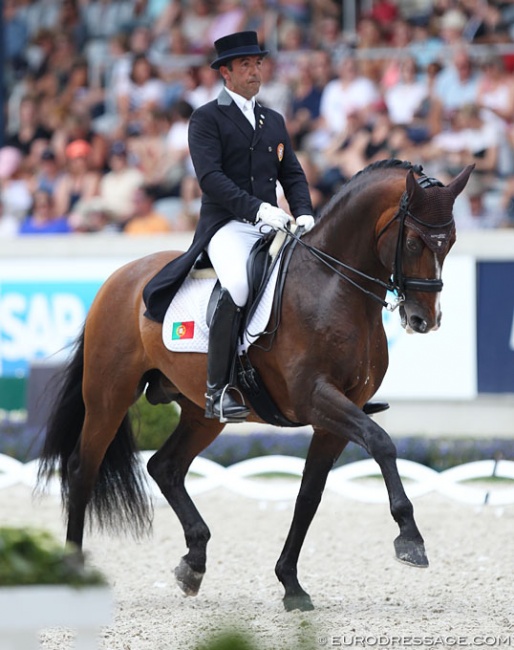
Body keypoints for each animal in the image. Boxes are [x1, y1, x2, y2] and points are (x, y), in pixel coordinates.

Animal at [38, 159, 470, 612]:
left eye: (451, 242)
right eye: (415, 242)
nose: (424, 320)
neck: (333, 286)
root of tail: (120, 277)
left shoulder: (337, 413)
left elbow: (309, 495)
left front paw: (291, 584)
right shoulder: (316, 398)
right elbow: (381, 442)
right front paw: (410, 539)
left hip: (203, 413)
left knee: (165, 466)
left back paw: (193, 563)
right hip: (109, 395)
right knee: (83, 469)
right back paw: (73, 571)